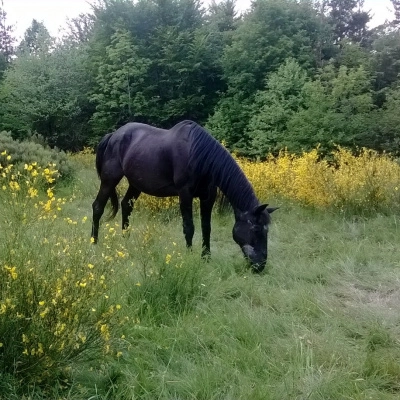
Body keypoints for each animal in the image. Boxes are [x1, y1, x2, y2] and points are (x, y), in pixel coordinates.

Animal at [92, 120, 276, 274]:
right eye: (256, 229)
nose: (260, 266)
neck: (200, 156)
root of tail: (113, 135)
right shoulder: (185, 194)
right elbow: (189, 227)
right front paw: (189, 257)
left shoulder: (208, 197)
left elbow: (206, 227)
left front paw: (206, 257)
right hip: (110, 179)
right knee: (98, 207)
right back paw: (94, 242)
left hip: (135, 184)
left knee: (126, 205)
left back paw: (126, 240)